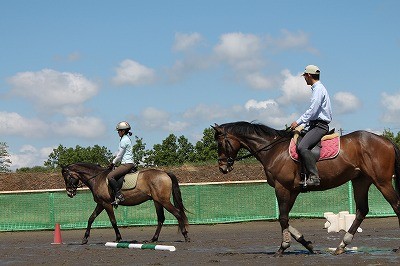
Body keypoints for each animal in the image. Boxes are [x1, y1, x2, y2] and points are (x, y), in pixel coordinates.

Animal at [60, 161, 190, 244]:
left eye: (67, 177)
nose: (69, 193)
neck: (97, 178)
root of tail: (165, 173)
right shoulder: (101, 204)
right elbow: (91, 218)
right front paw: (85, 238)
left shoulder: (107, 204)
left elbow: (113, 221)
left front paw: (118, 238)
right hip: (157, 201)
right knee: (161, 218)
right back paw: (153, 239)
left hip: (164, 201)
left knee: (177, 213)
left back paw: (186, 236)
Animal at [212, 121, 400, 256]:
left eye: (220, 143)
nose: (222, 167)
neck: (273, 149)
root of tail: (386, 140)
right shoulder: (293, 190)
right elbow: (285, 218)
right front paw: (308, 245)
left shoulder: (282, 187)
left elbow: (282, 218)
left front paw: (283, 247)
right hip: (361, 181)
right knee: (362, 210)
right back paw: (341, 246)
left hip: (382, 182)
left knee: (396, 206)